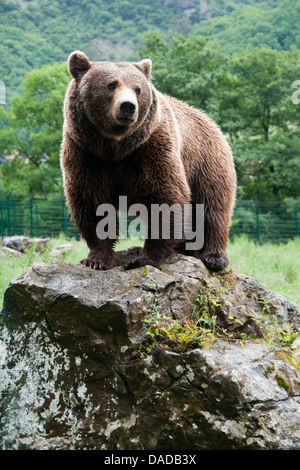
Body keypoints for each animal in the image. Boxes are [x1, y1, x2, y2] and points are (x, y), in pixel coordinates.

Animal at [61, 50, 237, 272]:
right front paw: (95, 259)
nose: (128, 107)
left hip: (206, 161)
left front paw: (143, 258)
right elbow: (91, 200)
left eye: (137, 89)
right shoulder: (86, 153)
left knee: (212, 208)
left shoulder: (151, 148)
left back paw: (214, 258)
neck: (115, 146)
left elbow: (164, 196)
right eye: (111, 84)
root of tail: (212, 122)